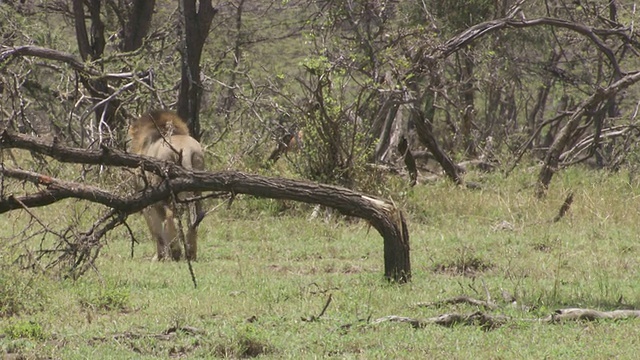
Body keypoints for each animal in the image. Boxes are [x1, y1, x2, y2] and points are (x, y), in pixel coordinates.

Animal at [126, 110, 204, 262]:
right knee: (196, 217)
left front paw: (159, 256)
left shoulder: (147, 201)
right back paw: (191, 253)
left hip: (163, 192)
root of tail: (185, 150)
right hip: (198, 187)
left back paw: (176, 252)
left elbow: (156, 230)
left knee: (170, 216)